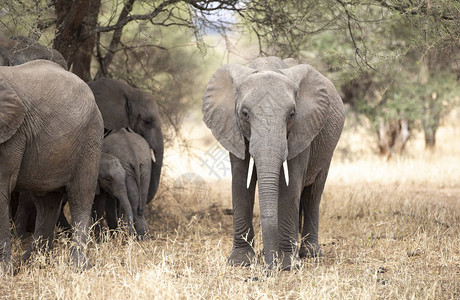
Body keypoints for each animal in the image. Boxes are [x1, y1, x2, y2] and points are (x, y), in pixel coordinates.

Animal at [0, 59, 102, 272]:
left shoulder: (11, 136)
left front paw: (4, 272)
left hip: (90, 137)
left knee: (80, 196)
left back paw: (80, 267)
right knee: (47, 203)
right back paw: (31, 263)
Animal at [202, 56, 344, 270]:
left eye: (291, 114)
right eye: (244, 113)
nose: (269, 269)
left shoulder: (303, 129)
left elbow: (290, 185)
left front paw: (287, 265)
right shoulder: (233, 129)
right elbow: (240, 181)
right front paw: (240, 262)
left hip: (327, 149)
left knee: (313, 194)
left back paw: (309, 254)